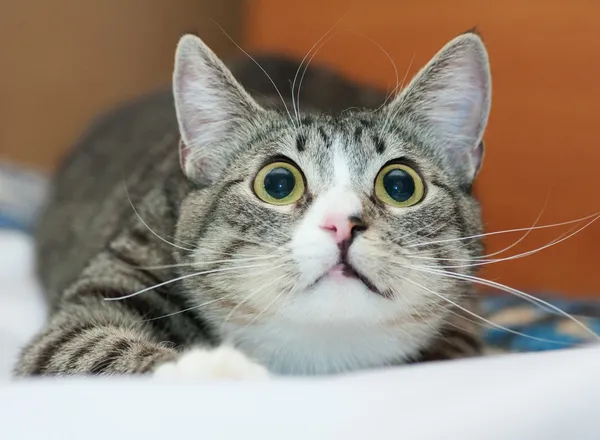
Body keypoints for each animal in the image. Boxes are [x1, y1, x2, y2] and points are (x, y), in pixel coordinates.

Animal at [15, 30, 492, 378]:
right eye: (278, 183)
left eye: (399, 184)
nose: (342, 224)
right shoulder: (109, 286)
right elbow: (85, 346)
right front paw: (214, 373)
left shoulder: (465, 322)